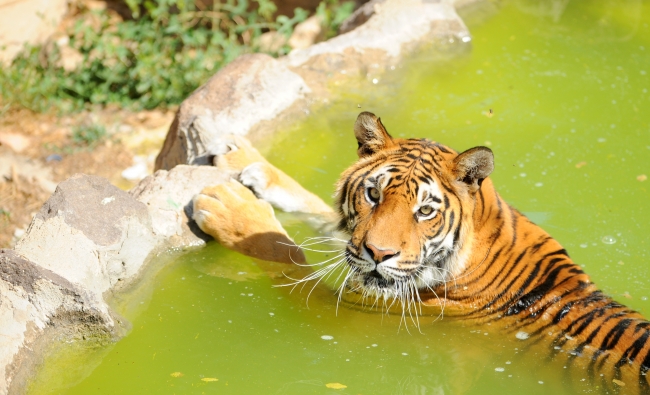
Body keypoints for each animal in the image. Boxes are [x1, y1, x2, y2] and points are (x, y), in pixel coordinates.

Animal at [191, 110, 648, 392]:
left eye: (425, 210)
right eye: (373, 195)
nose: (379, 254)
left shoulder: (349, 314)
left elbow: (283, 252)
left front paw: (231, 208)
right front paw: (246, 160)